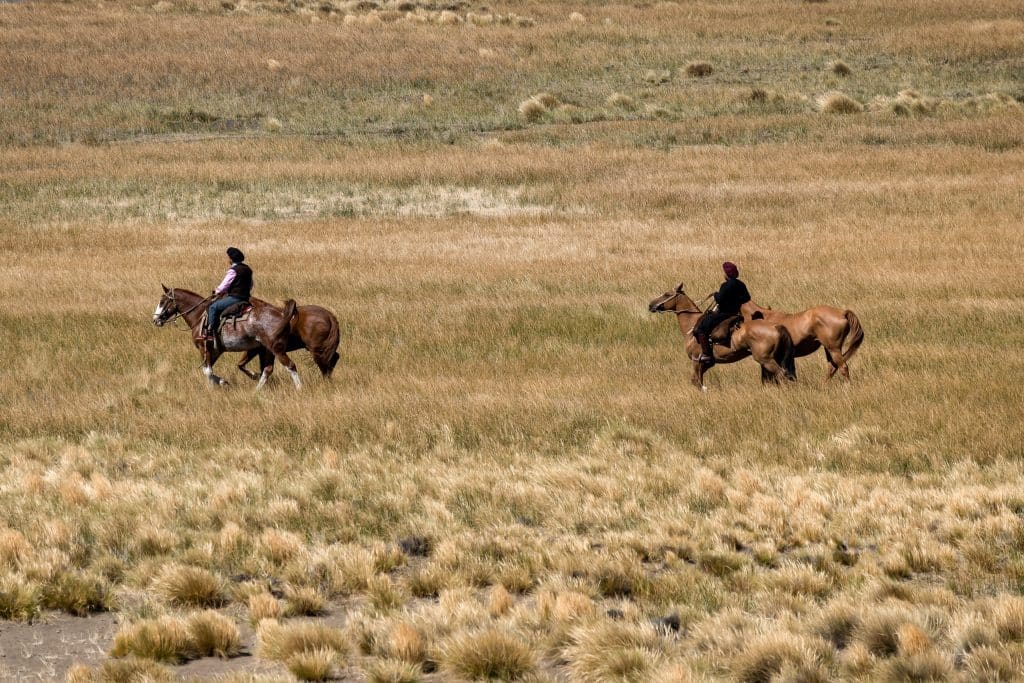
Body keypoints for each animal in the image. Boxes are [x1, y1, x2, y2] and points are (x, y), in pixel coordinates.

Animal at [151, 284, 301, 389]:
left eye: (162, 301)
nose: (155, 320)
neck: (199, 315)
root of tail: (282, 314)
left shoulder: (204, 348)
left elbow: (207, 371)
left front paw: (221, 383)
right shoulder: (216, 351)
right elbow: (209, 370)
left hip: (276, 348)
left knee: (290, 365)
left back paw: (299, 388)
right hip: (267, 350)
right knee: (267, 370)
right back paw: (256, 390)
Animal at [647, 282, 798, 389]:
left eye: (666, 294)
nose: (650, 305)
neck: (691, 324)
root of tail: (775, 326)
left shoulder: (696, 360)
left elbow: (696, 381)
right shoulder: (705, 364)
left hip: (766, 360)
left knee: (781, 375)